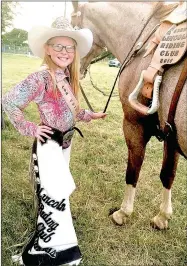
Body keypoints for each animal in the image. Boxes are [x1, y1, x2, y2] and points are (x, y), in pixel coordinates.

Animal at [71, 2, 186, 230]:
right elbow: (168, 174)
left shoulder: (133, 125)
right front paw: (162, 217)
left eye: (71, 27)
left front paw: (123, 213)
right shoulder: (171, 134)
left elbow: (133, 170)